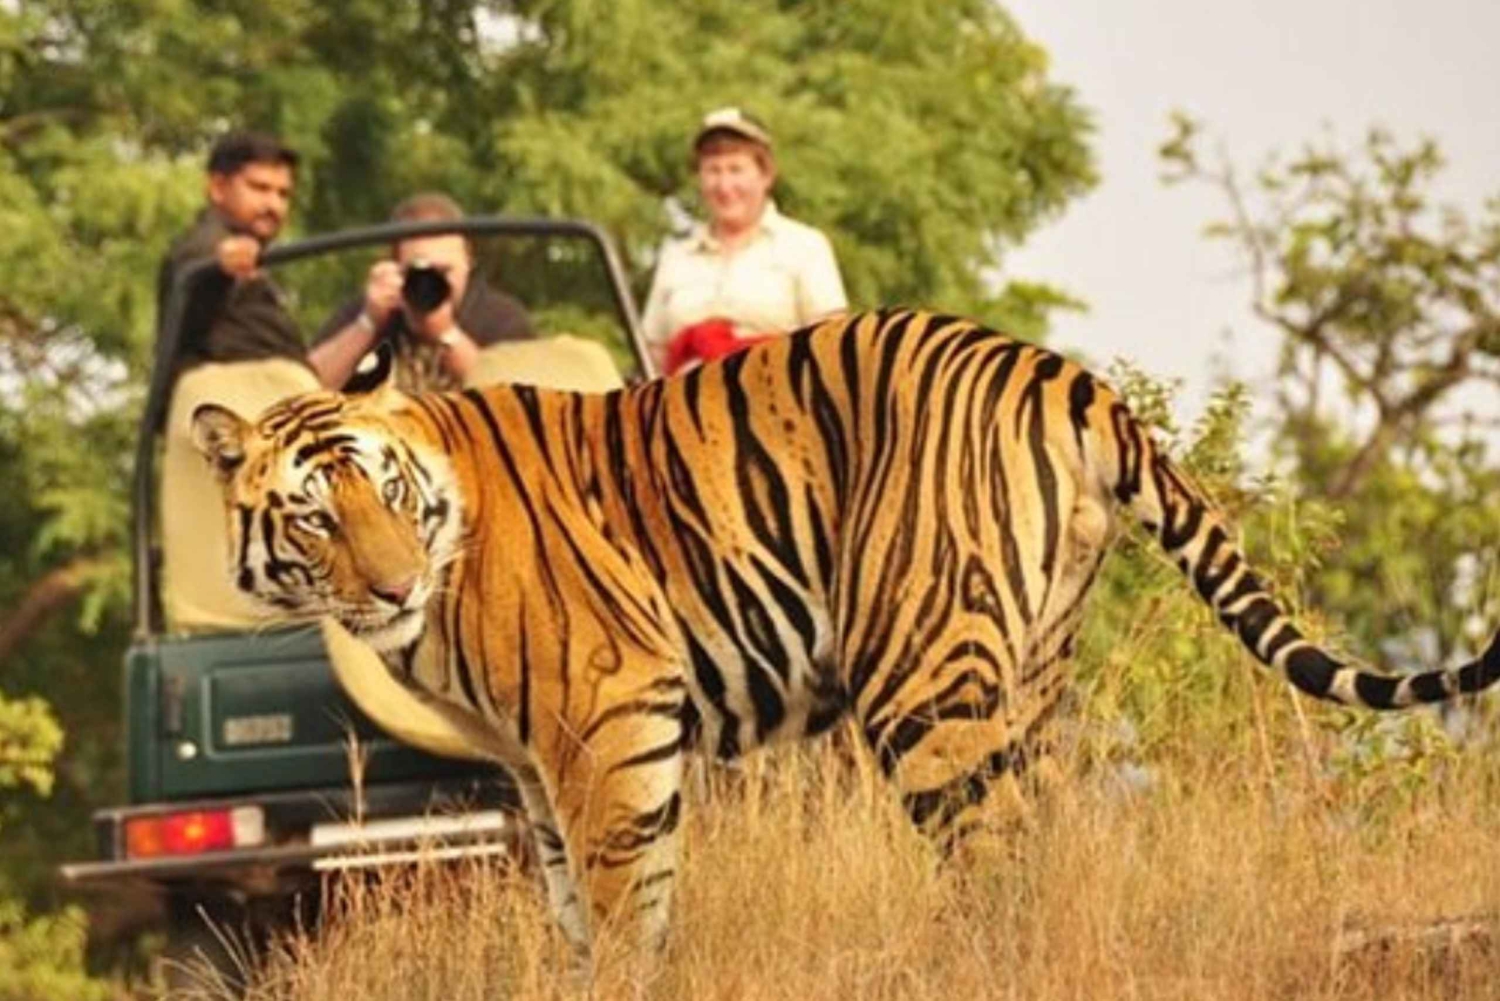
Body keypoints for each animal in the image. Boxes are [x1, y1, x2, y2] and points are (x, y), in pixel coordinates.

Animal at [190, 308, 1500, 958]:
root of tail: (1060, 371)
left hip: (919, 675)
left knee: (992, 855)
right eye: (315, 514)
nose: (393, 585)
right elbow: (575, 908)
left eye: (384, 492)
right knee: (1041, 843)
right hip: (1030, 673)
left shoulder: (609, 716)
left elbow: (624, 905)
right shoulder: (532, 764)